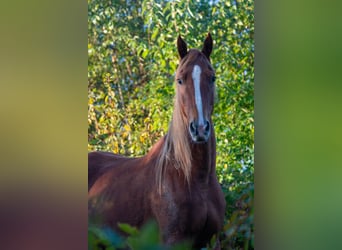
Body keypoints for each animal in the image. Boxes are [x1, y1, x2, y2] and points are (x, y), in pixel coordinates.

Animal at [89, 33, 226, 250]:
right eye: (180, 80)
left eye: (212, 78)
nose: (200, 128)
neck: (194, 179)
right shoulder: (172, 241)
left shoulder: (213, 241)